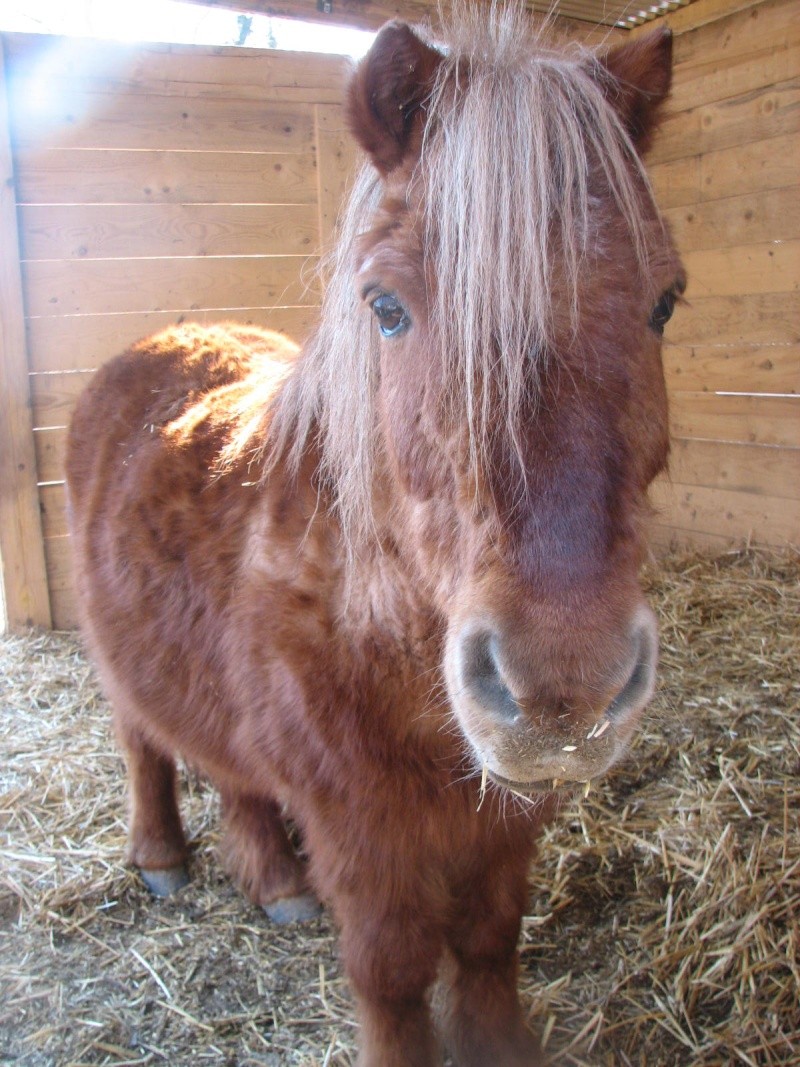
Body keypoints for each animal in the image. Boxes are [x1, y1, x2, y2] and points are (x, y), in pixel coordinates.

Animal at [65, 10, 686, 1067]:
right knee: (143, 741)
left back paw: (275, 882)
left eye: (665, 301)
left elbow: (489, 941)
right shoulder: (362, 831)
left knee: (233, 774)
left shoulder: (502, 818)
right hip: (123, 668)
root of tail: (165, 341)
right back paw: (161, 857)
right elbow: (392, 974)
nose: (563, 689)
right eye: (385, 307)